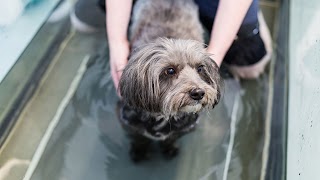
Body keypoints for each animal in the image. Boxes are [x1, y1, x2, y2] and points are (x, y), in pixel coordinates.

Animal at [119, 0, 221, 162]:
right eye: (170, 70)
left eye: (200, 68)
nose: (198, 93)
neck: (163, 116)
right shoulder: (130, 123)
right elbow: (139, 138)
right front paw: (139, 151)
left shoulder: (183, 128)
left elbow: (171, 139)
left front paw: (169, 148)